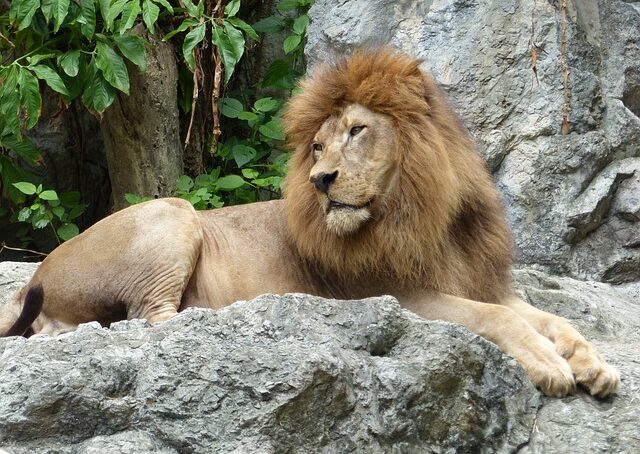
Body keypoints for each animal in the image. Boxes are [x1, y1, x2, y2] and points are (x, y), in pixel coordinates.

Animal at [0, 48, 620, 398]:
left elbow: (552, 318)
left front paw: (594, 364)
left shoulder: (480, 278)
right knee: (148, 320)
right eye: (317, 145)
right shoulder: (398, 293)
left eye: (357, 131)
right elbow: (499, 319)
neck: (425, 213)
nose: (321, 180)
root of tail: (35, 278)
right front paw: (551, 366)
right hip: (174, 212)